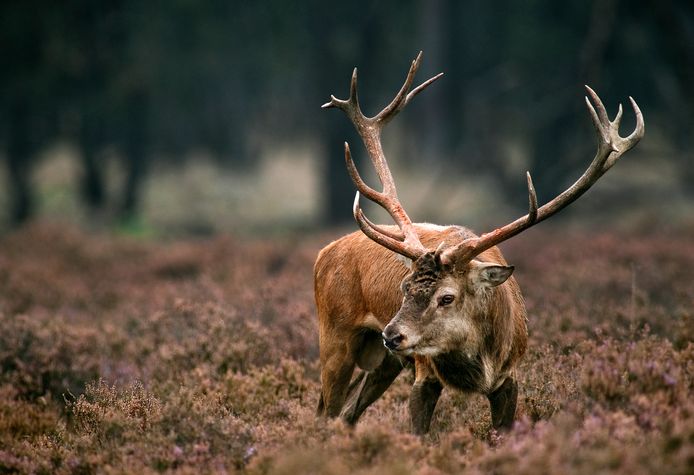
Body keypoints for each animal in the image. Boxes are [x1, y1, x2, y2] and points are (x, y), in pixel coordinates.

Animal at [316, 51, 648, 436]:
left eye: (447, 297)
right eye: (404, 288)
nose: (393, 335)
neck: (481, 362)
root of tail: (323, 252)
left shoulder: (510, 376)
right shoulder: (424, 373)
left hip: (383, 361)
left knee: (348, 413)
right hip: (337, 338)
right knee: (327, 410)